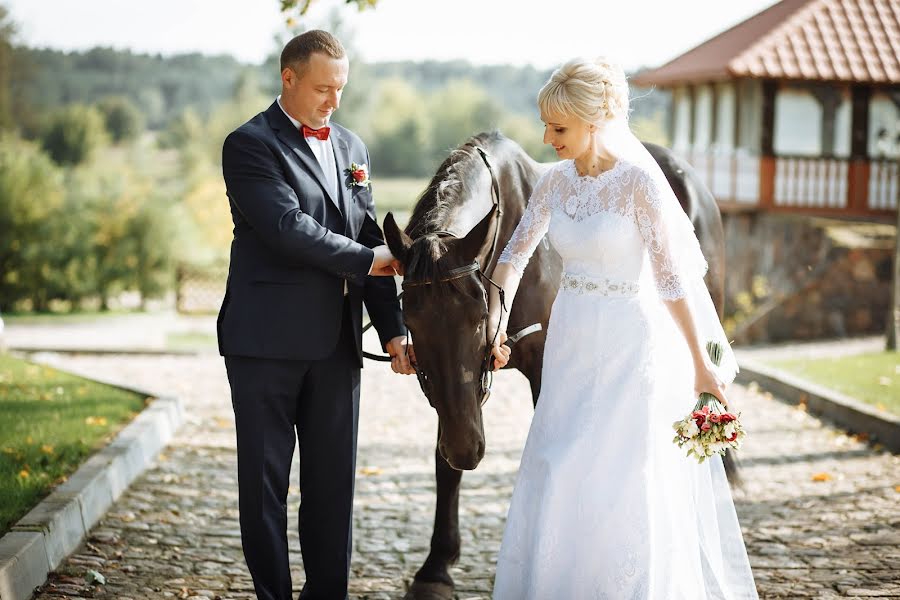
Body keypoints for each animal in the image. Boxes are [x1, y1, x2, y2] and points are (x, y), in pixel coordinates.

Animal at [380, 131, 724, 600]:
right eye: (411, 319)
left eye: (478, 314)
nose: (468, 449)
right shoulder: (456, 392)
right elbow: (445, 461)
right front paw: (436, 568)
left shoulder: (540, 369)